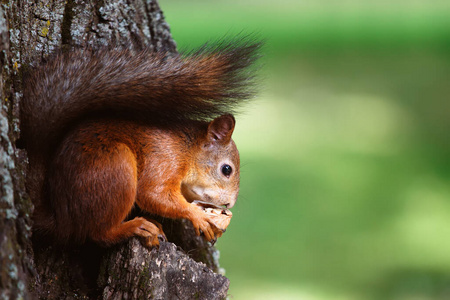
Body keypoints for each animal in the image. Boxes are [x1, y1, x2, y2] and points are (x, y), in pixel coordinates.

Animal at [21, 38, 260, 248]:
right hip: (115, 167)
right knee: (98, 234)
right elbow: (153, 194)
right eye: (226, 169)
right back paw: (135, 227)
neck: (187, 149)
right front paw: (198, 216)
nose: (229, 204)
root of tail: (63, 220)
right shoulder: (165, 158)